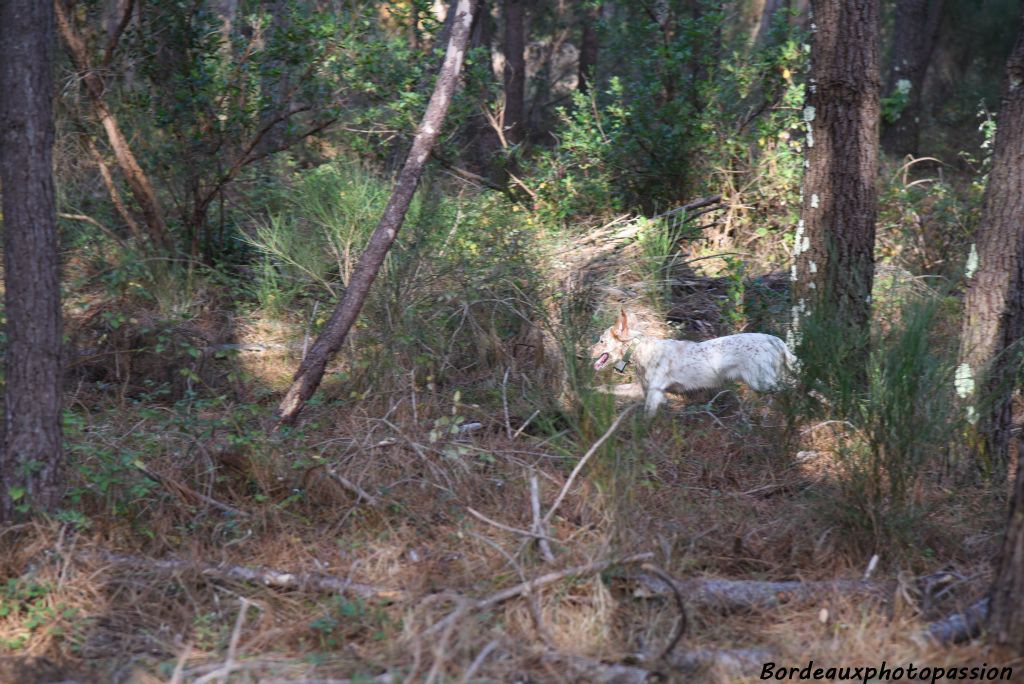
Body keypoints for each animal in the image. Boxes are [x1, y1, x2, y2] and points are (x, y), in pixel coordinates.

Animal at [589, 311, 794, 417]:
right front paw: (589, 390)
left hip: (763, 381)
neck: (640, 350)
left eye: (601, 341)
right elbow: (607, 387)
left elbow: (647, 417)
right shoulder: (644, 389)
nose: (587, 350)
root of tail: (775, 340)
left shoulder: (654, 394)